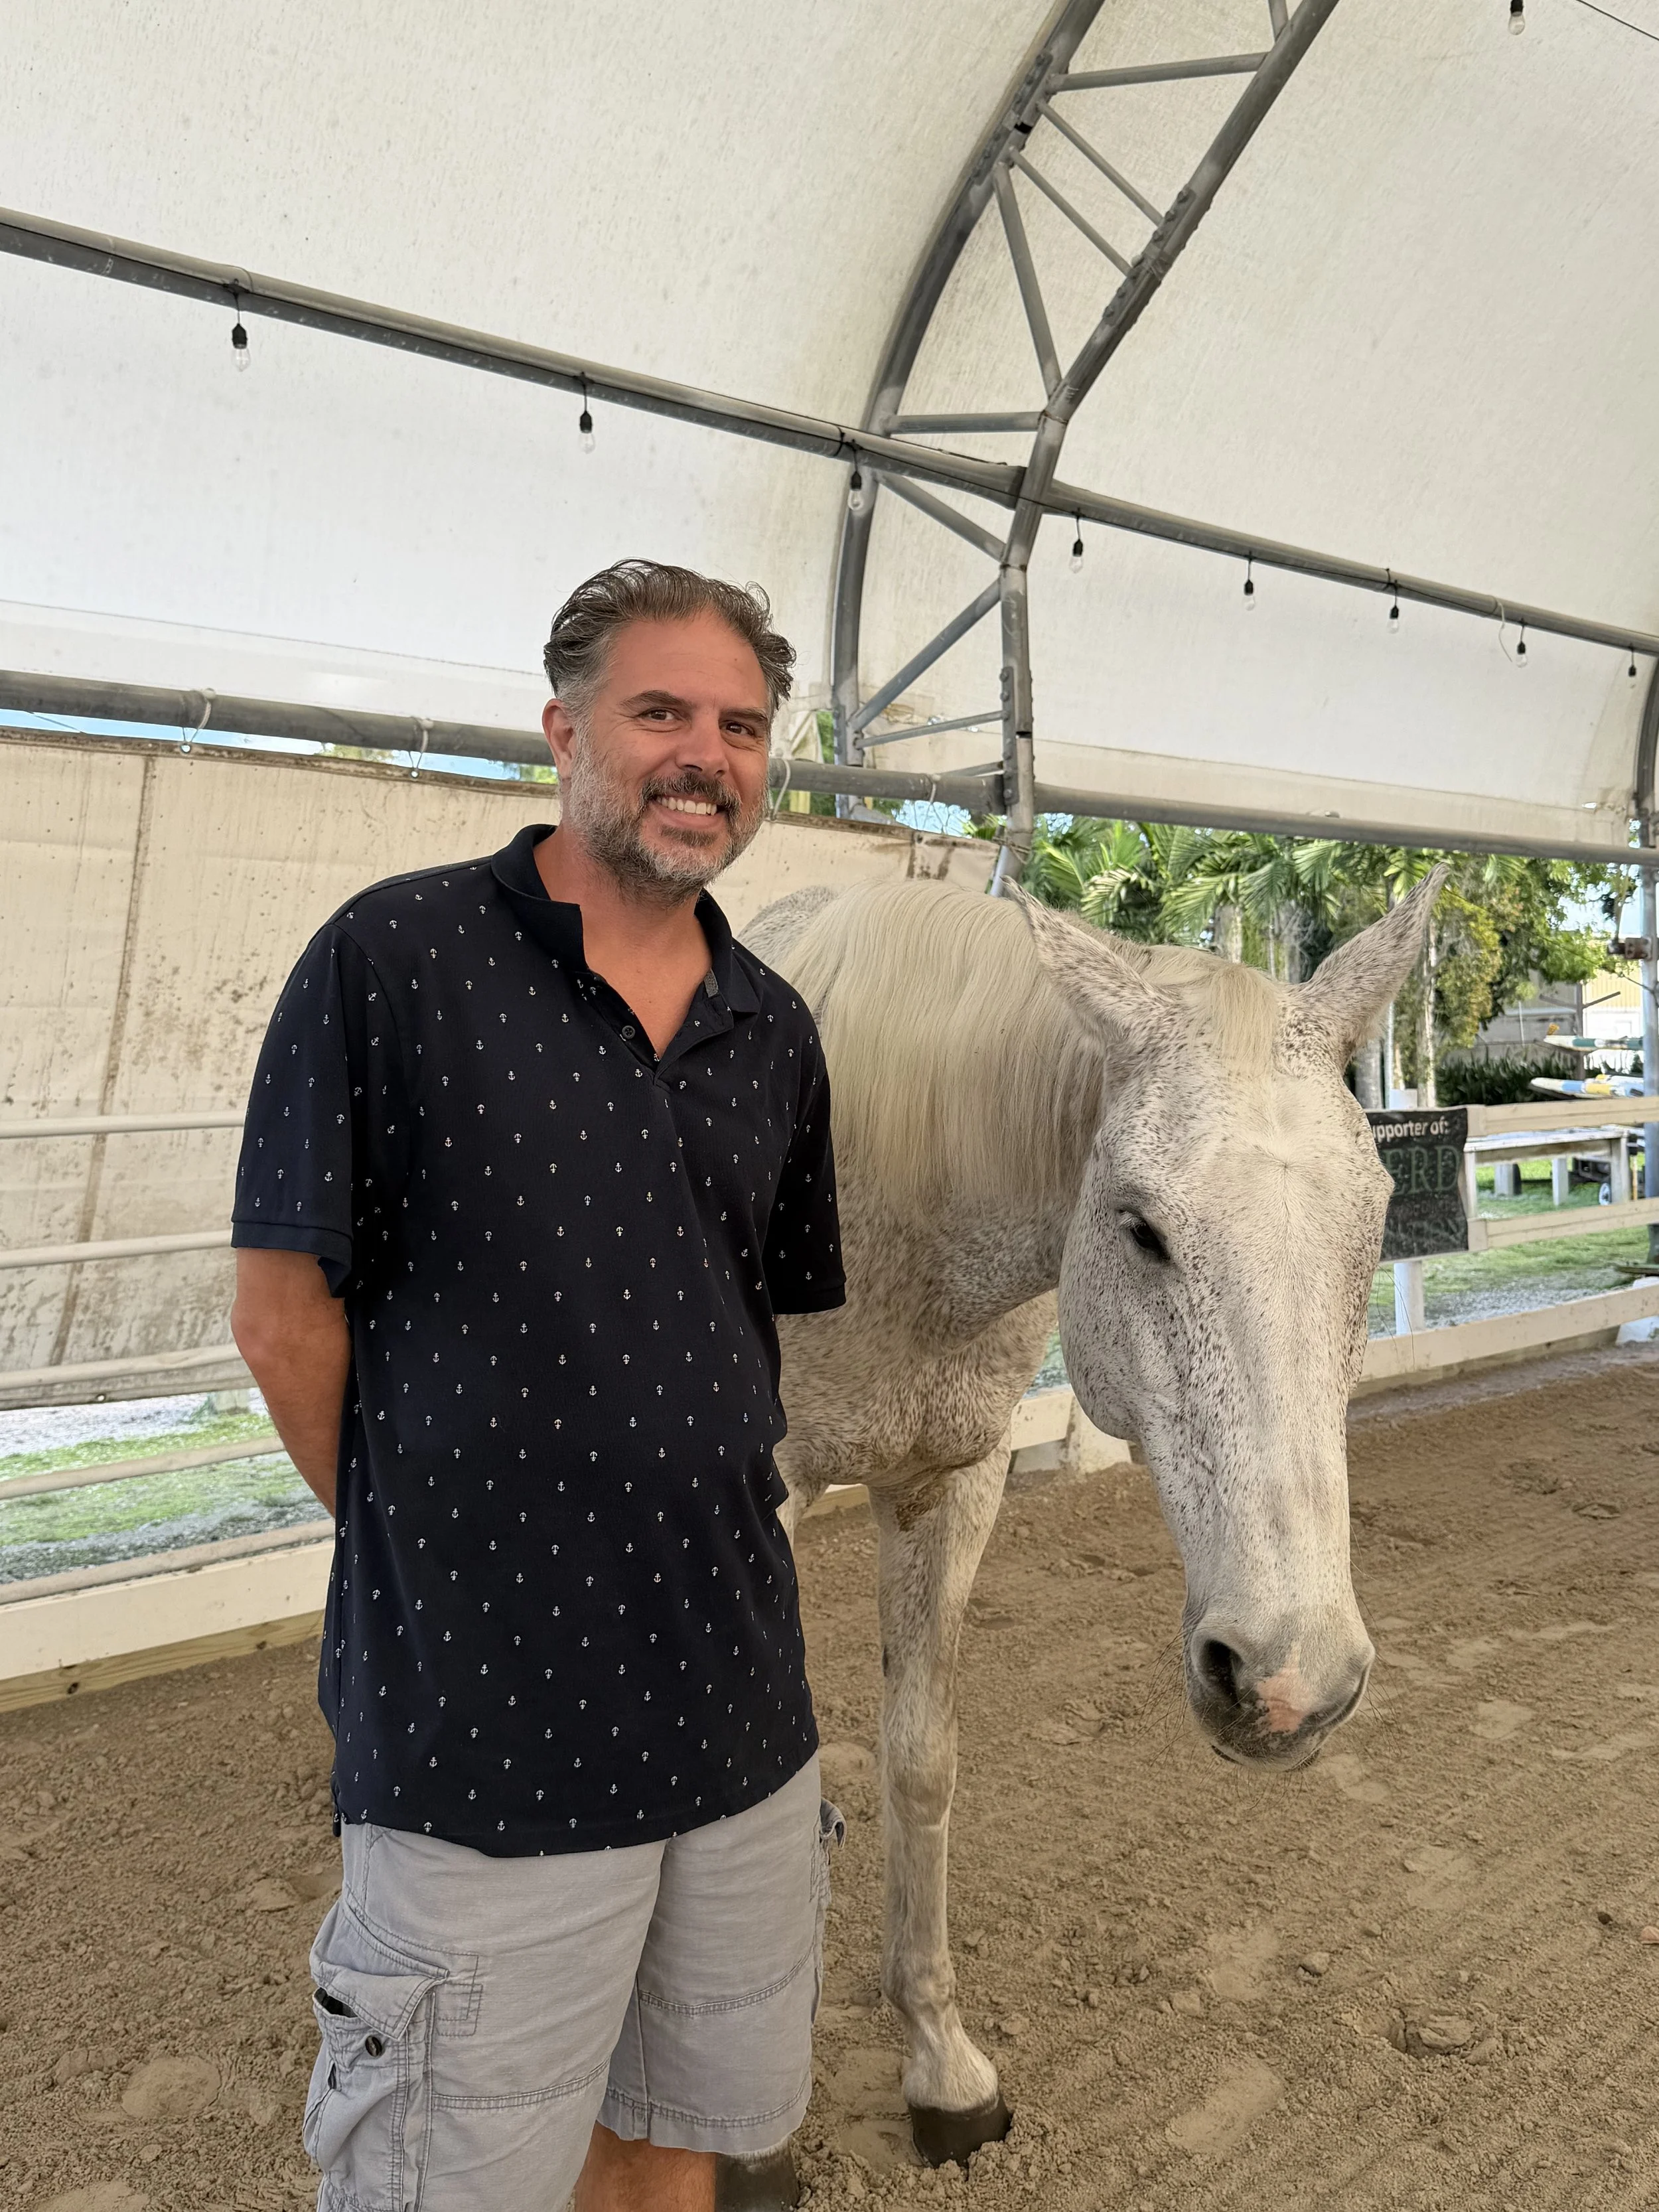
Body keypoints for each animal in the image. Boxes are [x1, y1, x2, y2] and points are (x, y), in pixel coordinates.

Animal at [739, 866, 1444, 2176]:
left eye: (1375, 1212)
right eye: (1141, 1225)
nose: (1292, 1680)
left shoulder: (951, 1488)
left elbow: (920, 1759)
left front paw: (943, 2068)